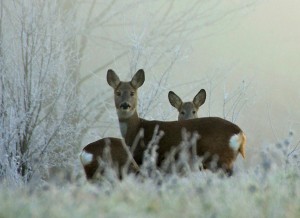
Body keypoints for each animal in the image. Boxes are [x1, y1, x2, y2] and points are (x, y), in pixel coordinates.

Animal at [106, 69, 245, 175]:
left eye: (132, 93)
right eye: (117, 93)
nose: (125, 105)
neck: (137, 129)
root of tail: (240, 133)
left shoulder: (147, 159)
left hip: (219, 159)